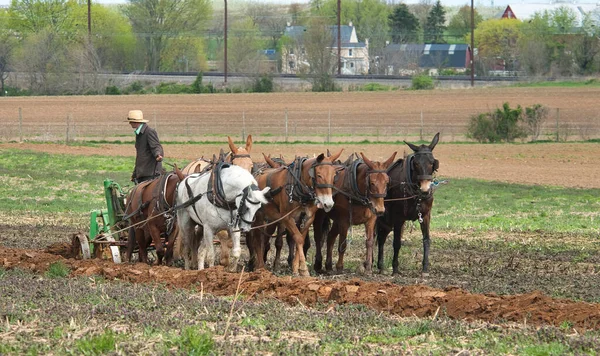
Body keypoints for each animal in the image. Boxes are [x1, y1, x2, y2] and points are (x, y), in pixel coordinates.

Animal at [378, 134, 438, 276]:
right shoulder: (399, 218)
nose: (425, 190)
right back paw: (377, 265)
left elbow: (426, 240)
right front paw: (395, 268)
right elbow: (397, 243)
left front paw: (425, 268)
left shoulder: (425, 216)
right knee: (377, 238)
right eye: (416, 163)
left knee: (382, 237)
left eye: (432, 162)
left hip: (388, 222)